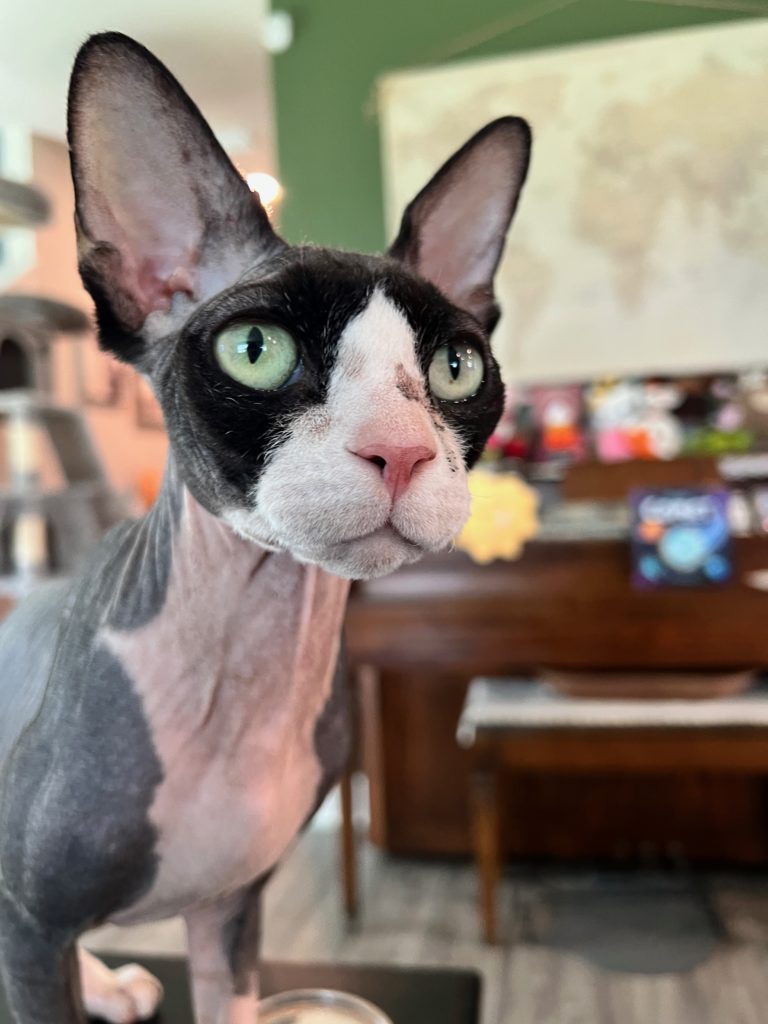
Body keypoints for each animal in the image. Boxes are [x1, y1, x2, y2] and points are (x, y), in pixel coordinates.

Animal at [0, 29, 532, 1024]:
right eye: (256, 350)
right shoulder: (30, 920)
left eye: (456, 365)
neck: (252, 660)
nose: (402, 450)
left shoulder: (233, 905)